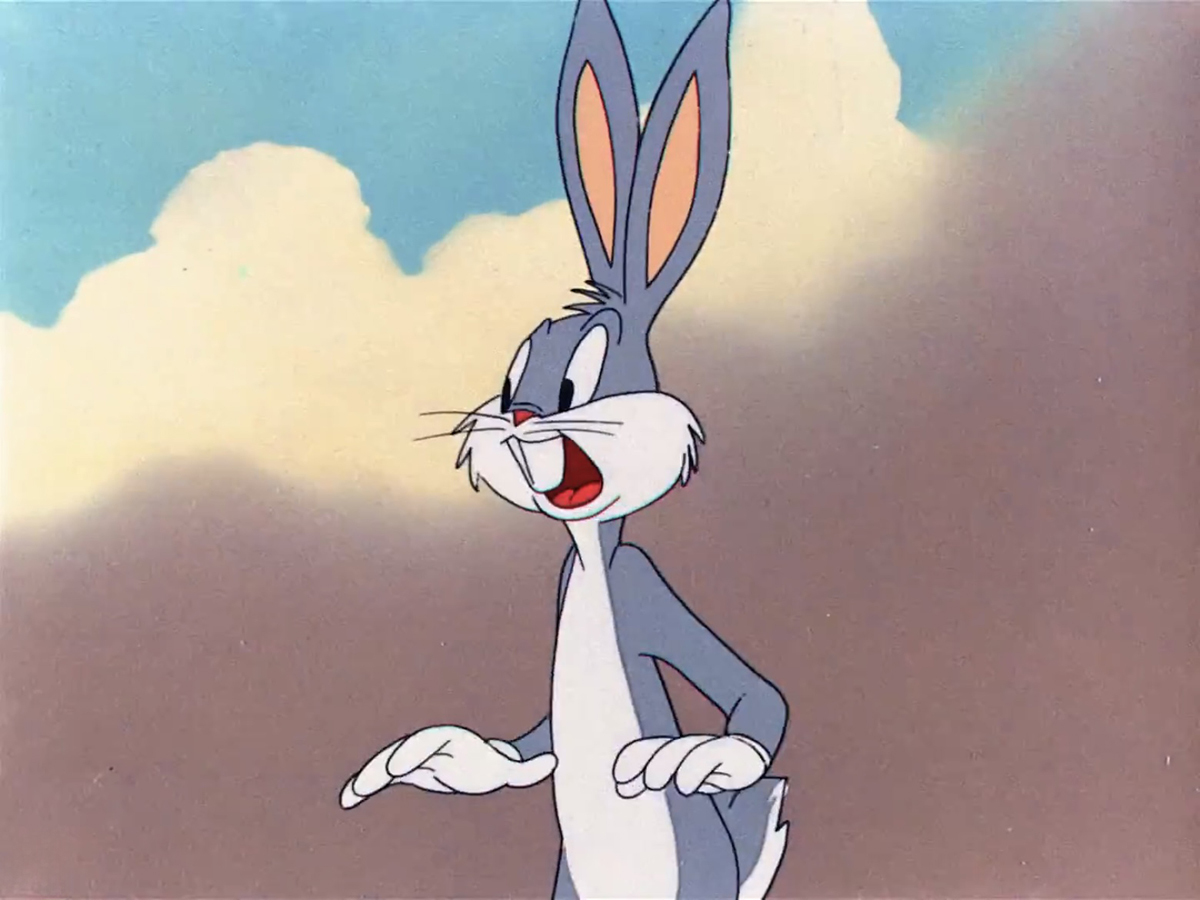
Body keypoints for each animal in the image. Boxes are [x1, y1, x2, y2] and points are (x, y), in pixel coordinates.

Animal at [339, 1, 790, 897]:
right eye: (513, 379)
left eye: (579, 383)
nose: (518, 419)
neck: (589, 559)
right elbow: (535, 741)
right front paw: (448, 757)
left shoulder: (642, 582)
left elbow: (757, 697)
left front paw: (698, 760)